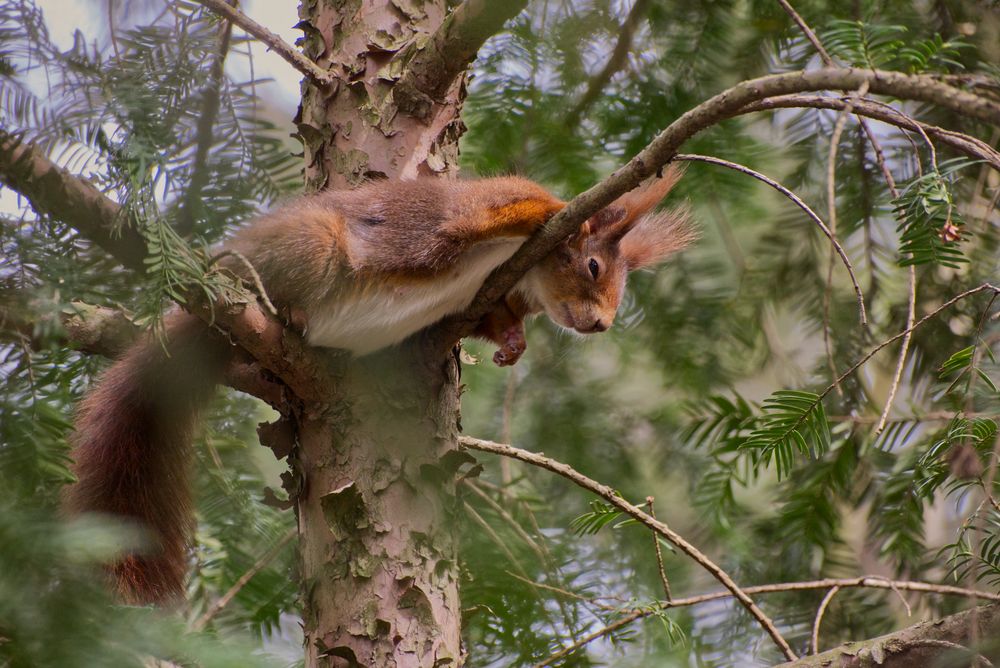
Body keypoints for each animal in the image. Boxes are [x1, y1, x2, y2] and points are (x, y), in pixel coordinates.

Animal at [64, 167, 694, 604]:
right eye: (593, 268)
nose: (602, 323)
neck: (519, 265)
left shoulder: (490, 295)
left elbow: (496, 319)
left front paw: (514, 343)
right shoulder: (473, 212)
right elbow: (505, 210)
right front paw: (562, 207)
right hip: (305, 248)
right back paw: (284, 311)